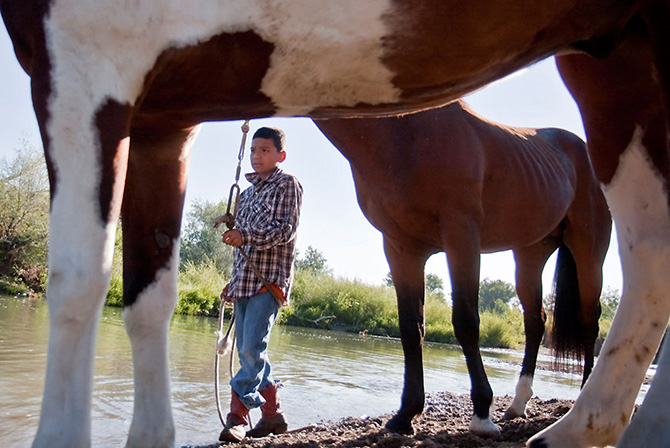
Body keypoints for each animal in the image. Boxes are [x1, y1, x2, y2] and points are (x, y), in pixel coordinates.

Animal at [316, 100, 616, 434]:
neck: (402, 132)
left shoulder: (462, 237)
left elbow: (466, 322)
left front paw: (482, 414)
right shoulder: (401, 248)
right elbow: (411, 328)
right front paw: (405, 415)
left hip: (589, 250)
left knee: (589, 322)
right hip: (530, 252)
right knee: (535, 322)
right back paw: (517, 404)